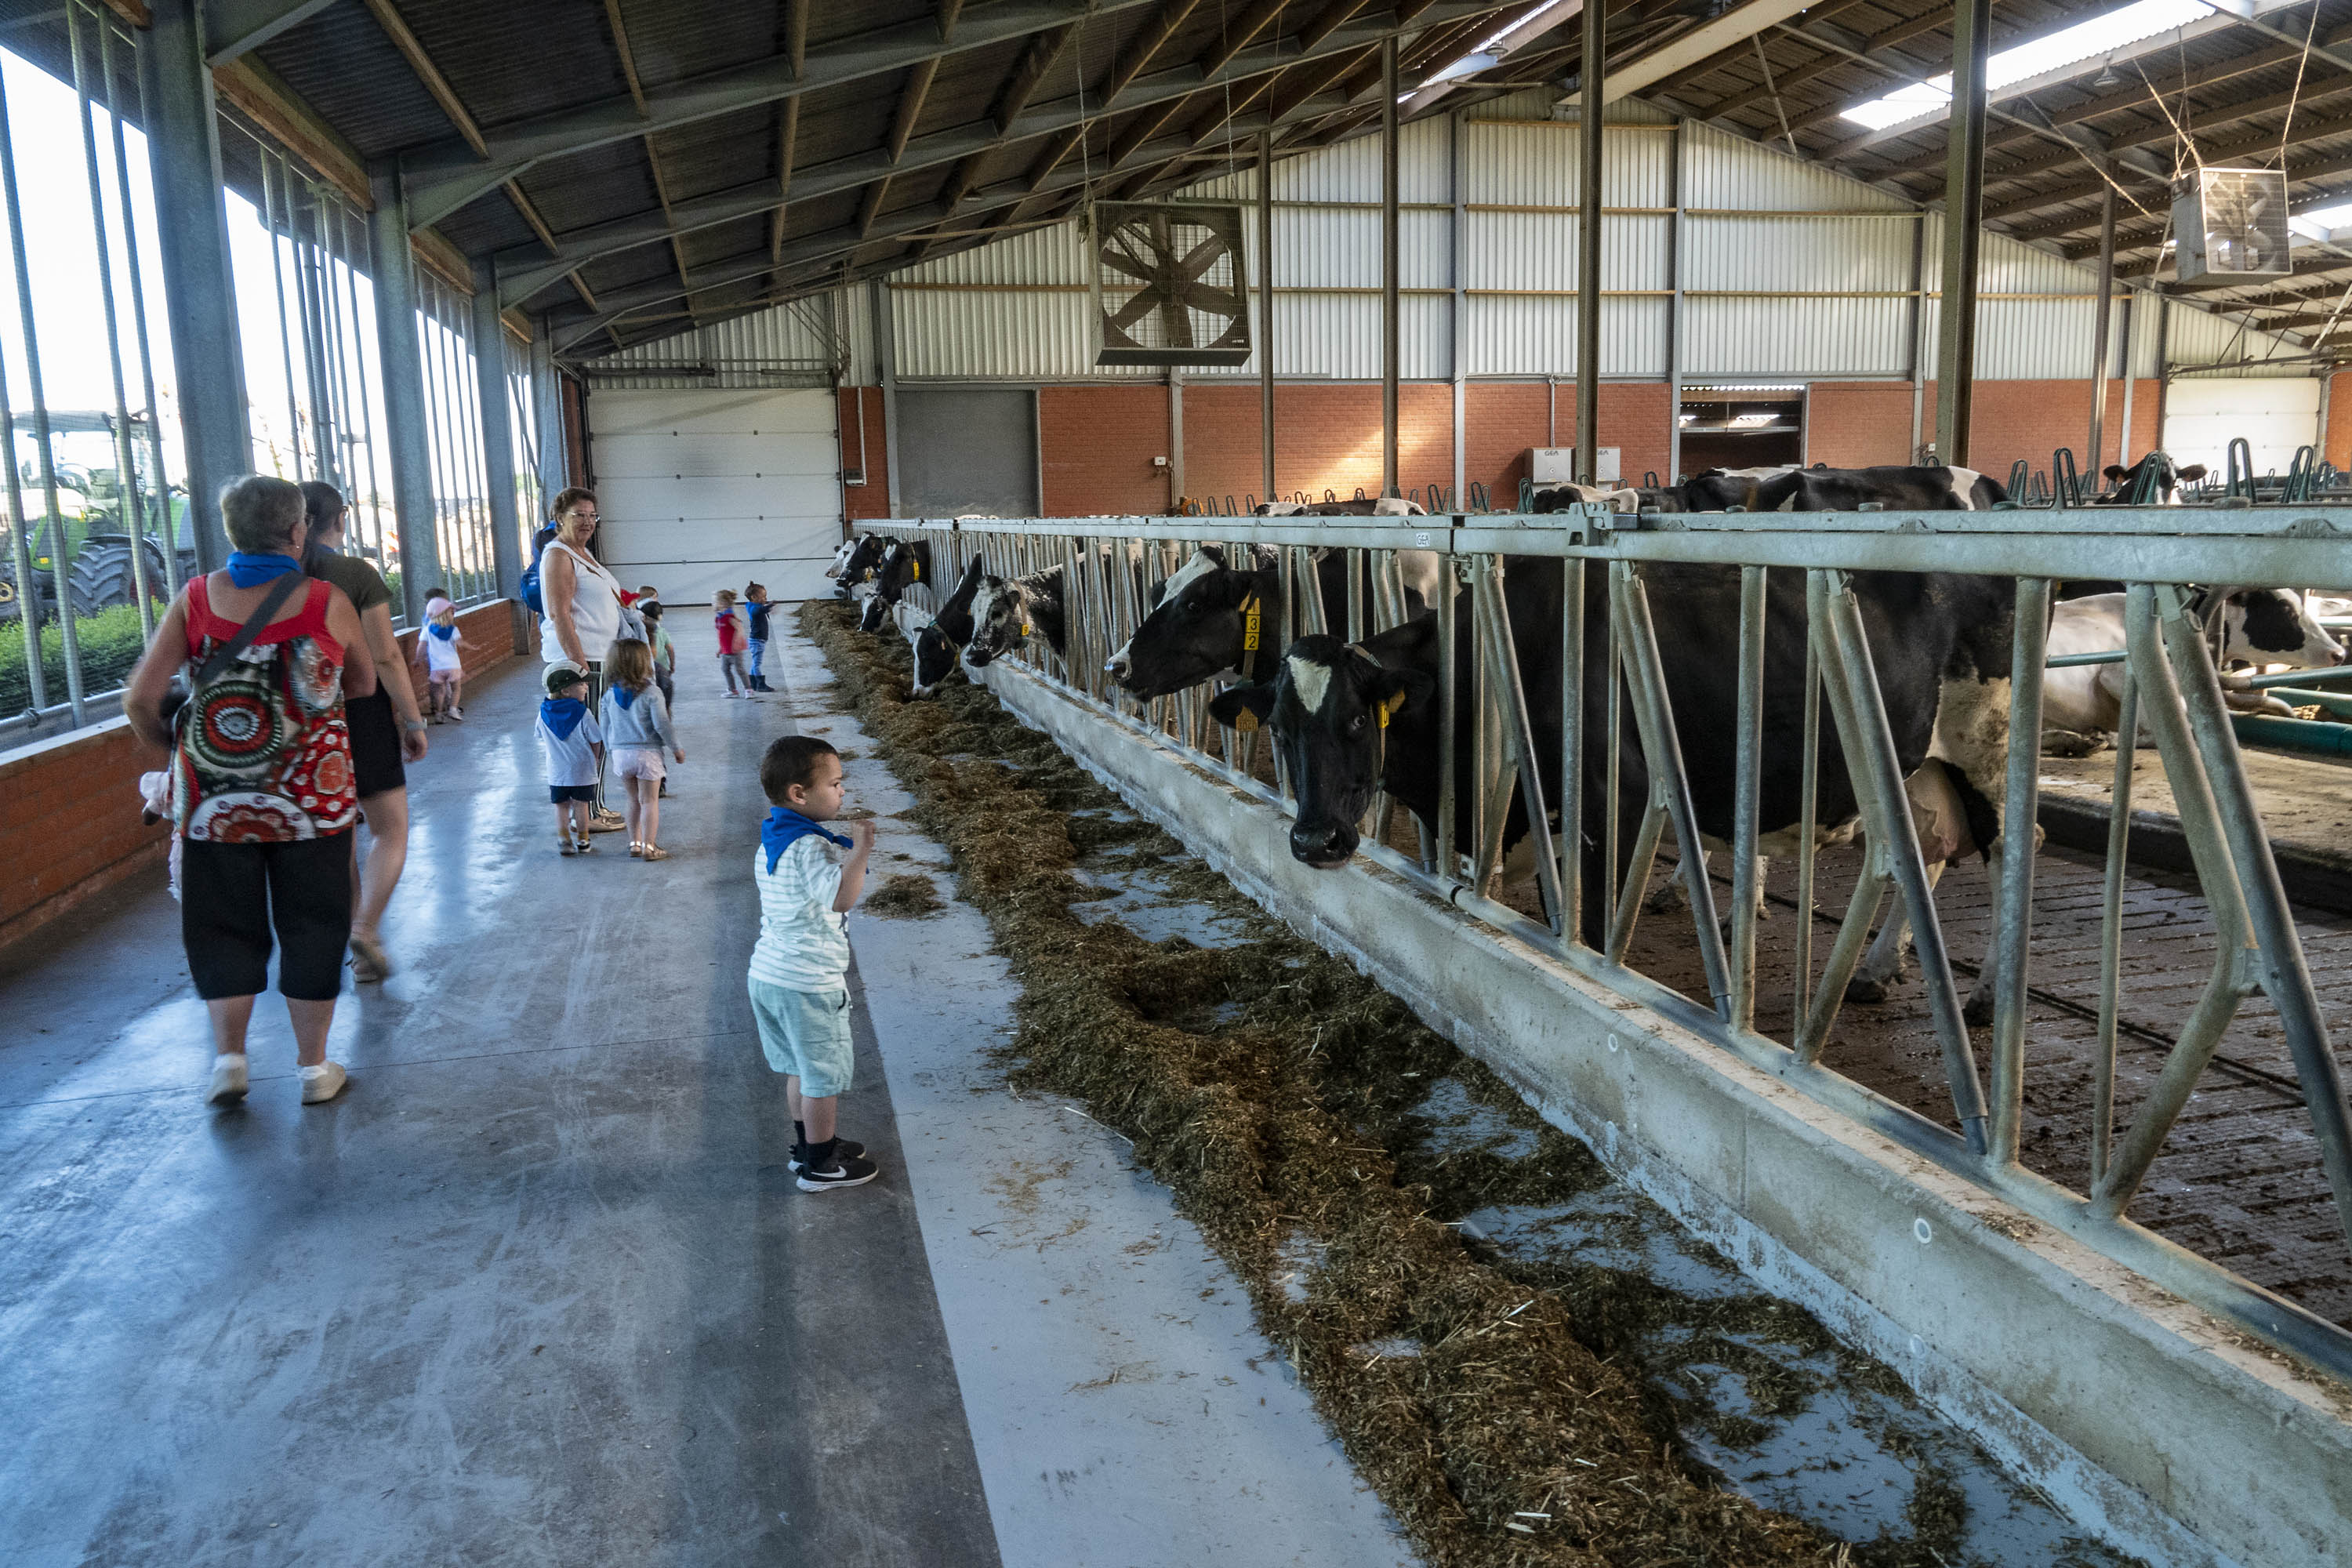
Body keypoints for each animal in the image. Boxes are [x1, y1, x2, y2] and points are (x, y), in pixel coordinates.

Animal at [1209, 560, 2019, 1019]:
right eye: (1279, 726)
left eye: (1354, 719)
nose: (1315, 839)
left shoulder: (1615, 807)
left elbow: (1595, 937)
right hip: (1909, 770)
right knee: (1923, 852)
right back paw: (1875, 972)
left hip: (1988, 755)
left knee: (2011, 851)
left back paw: (1983, 996)